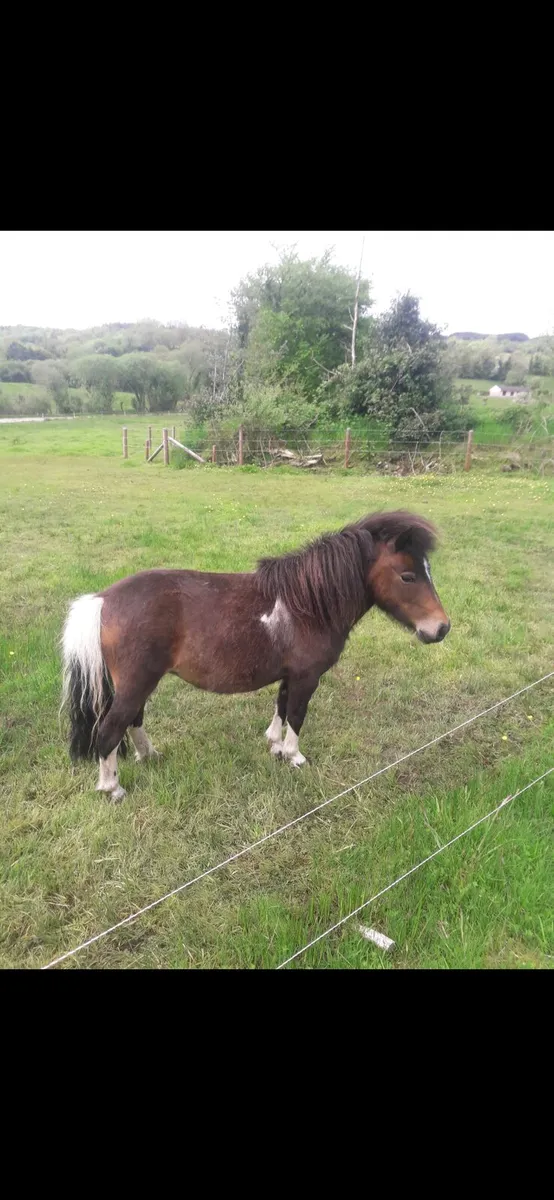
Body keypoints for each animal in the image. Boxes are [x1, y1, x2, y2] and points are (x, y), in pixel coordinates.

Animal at [61, 510, 450, 801]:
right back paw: (112, 788)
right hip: (136, 683)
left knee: (134, 720)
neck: (307, 605)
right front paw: (294, 756)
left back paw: (150, 756)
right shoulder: (307, 677)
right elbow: (297, 714)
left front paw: (275, 746)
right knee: (110, 730)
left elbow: (281, 708)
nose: (441, 628)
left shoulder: (290, 674)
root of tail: (103, 600)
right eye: (408, 576)